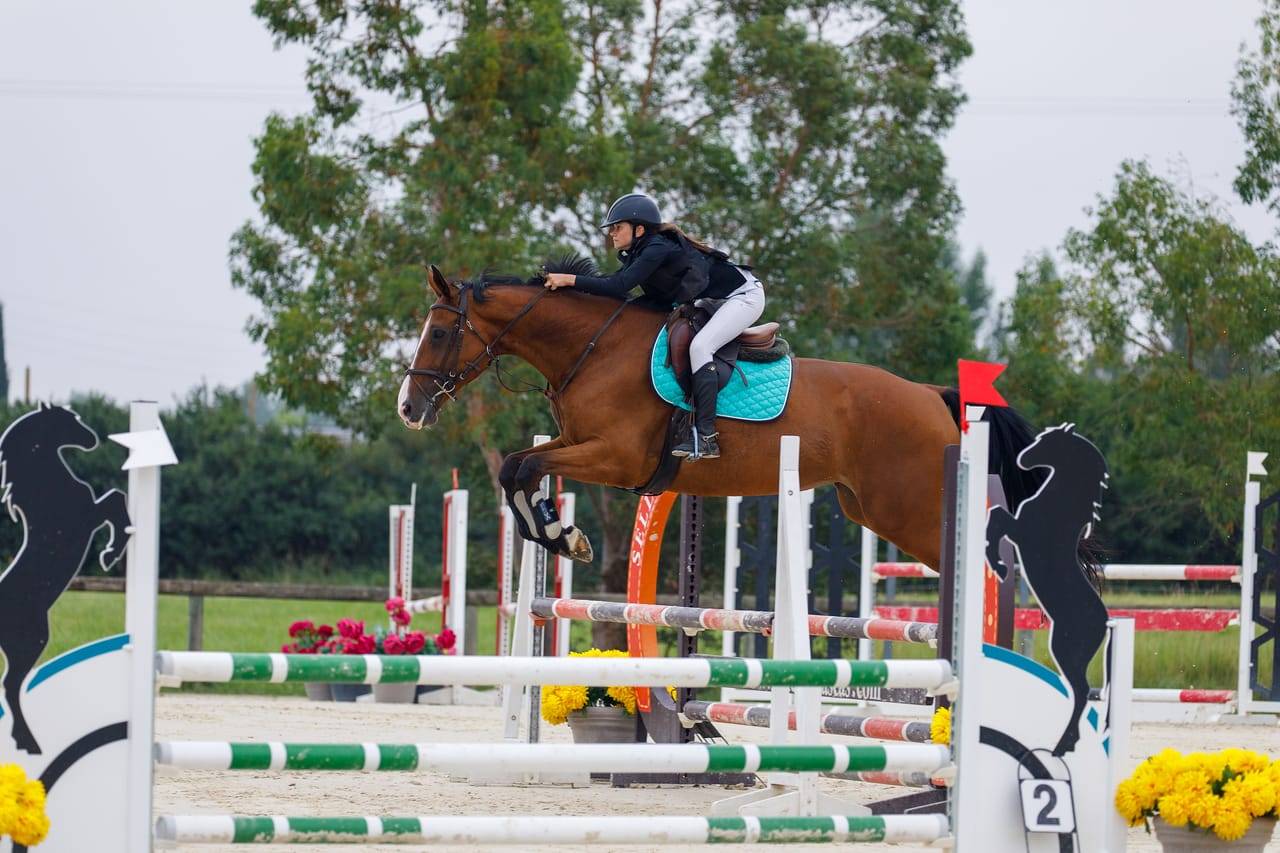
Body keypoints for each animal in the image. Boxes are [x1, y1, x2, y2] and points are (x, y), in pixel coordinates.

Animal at [0, 404, 132, 754]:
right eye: (72, 420)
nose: (93, 439)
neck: (48, 486)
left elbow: (116, 499)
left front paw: (111, 553)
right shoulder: (87, 517)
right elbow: (116, 499)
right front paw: (110, 554)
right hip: (31, 641)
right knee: (11, 686)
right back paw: (29, 743)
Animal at [398, 261, 1044, 573]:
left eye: (439, 333)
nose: (408, 407)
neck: (594, 348)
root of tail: (930, 395)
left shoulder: (614, 456)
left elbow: (521, 468)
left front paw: (564, 535)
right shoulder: (575, 442)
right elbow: (519, 468)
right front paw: (565, 537)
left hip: (906, 512)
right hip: (869, 508)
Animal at [985, 424, 1110, 756]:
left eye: (1047, 443)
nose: (1021, 459)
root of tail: (1106, 622)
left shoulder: (1020, 531)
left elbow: (996, 517)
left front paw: (998, 565)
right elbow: (996, 517)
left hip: (1064, 648)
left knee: (1080, 691)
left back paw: (1062, 745)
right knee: (1079, 692)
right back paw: (1067, 743)